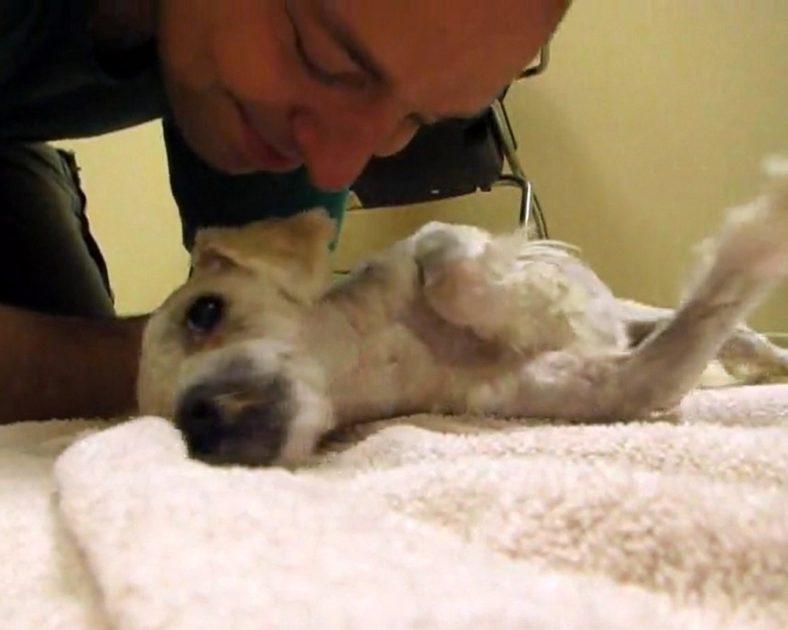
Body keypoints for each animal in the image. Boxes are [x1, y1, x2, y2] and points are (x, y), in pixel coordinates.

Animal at [137, 161, 788, 467]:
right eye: (167, 424)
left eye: (205, 311)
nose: (196, 420)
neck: (371, 355)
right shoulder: (618, 387)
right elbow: (697, 322)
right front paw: (757, 235)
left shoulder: (436, 241)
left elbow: (446, 258)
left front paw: (536, 302)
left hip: (642, 309)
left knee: (744, 337)